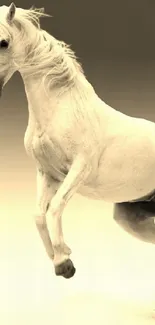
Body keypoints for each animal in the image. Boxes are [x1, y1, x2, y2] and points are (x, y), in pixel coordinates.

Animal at [0, 2, 155, 278]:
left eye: (4, 42)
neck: (62, 107)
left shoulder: (80, 168)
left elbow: (55, 207)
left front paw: (64, 263)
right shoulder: (47, 173)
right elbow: (39, 214)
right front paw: (58, 258)